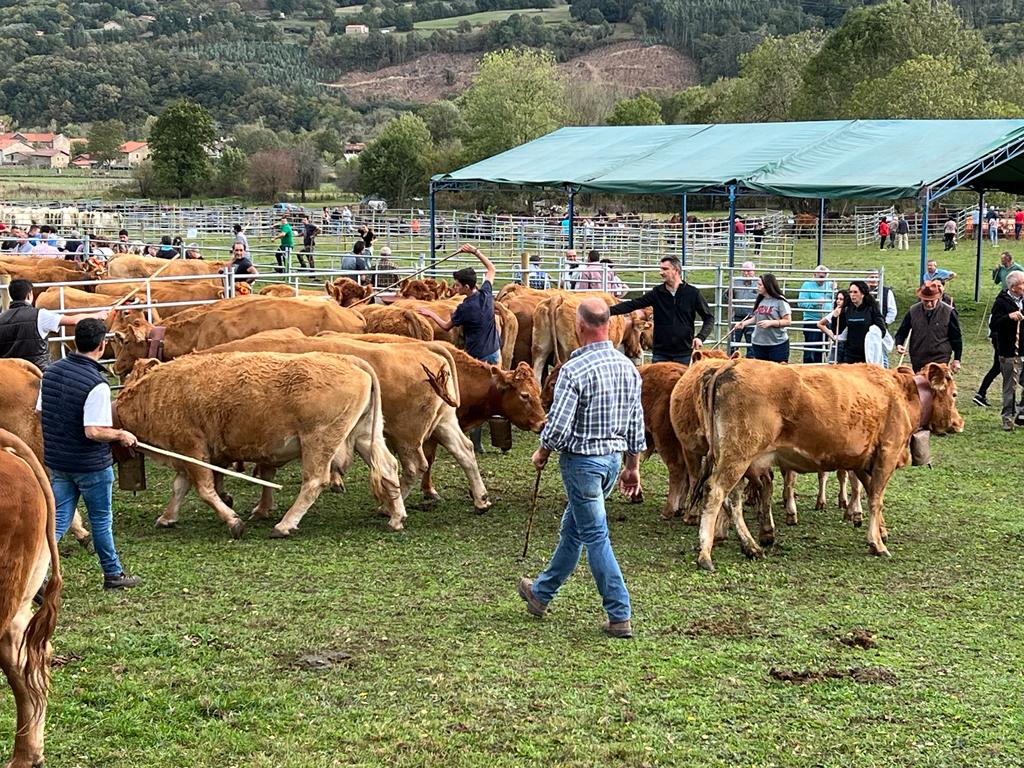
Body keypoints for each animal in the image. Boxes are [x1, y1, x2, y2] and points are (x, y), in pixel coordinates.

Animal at [116, 354, 403, 536]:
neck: (157, 392)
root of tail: (352, 362)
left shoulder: (192, 449)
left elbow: (205, 489)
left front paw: (233, 522)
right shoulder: (187, 456)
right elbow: (180, 487)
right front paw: (167, 517)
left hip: (319, 441)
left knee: (314, 481)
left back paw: (284, 525)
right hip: (365, 436)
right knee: (389, 468)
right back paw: (396, 518)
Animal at [203, 331, 491, 512]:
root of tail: (426, 348)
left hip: (407, 436)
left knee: (414, 466)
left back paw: (387, 507)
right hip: (443, 423)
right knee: (464, 451)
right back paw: (481, 500)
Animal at [692, 362, 962, 573]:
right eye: (955, 394)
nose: (960, 422)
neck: (902, 394)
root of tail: (727, 367)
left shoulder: (863, 461)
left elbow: (869, 493)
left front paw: (879, 529)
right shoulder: (887, 453)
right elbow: (876, 499)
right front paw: (877, 543)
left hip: (736, 459)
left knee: (733, 499)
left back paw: (751, 547)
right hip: (738, 455)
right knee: (715, 492)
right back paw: (706, 555)